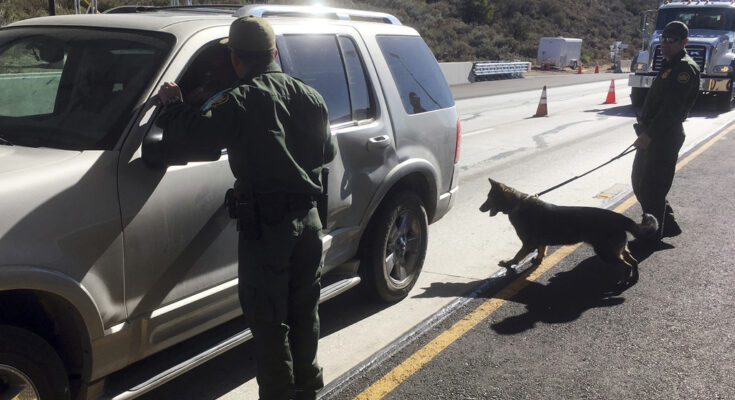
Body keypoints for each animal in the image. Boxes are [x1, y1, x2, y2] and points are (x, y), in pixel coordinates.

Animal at [479, 178, 658, 285]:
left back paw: (624, 281)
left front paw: (509, 263)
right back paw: (634, 278)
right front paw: (537, 260)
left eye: (490, 197)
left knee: (626, 265)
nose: (480, 209)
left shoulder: (528, 244)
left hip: (606, 252)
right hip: (619, 250)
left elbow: (517, 256)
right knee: (633, 261)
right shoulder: (539, 243)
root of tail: (620, 218)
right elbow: (541, 251)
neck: (517, 204)